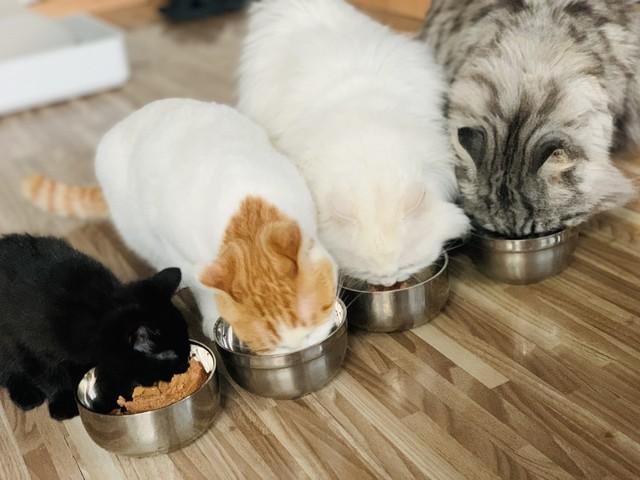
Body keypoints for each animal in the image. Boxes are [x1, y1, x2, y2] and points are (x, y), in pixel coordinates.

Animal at [0, 234, 189, 420]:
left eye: (186, 344)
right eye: (169, 355)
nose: (185, 365)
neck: (99, 307)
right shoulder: (27, 347)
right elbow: (50, 377)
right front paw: (64, 401)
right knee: (9, 372)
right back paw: (26, 395)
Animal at [23, 99, 338, 354]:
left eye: (310, 326)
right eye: (276, 343)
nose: (300, 348)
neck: (245, 218)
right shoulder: (186, 256)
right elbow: (204, 292)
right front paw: (211, 317)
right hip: (139, 231)